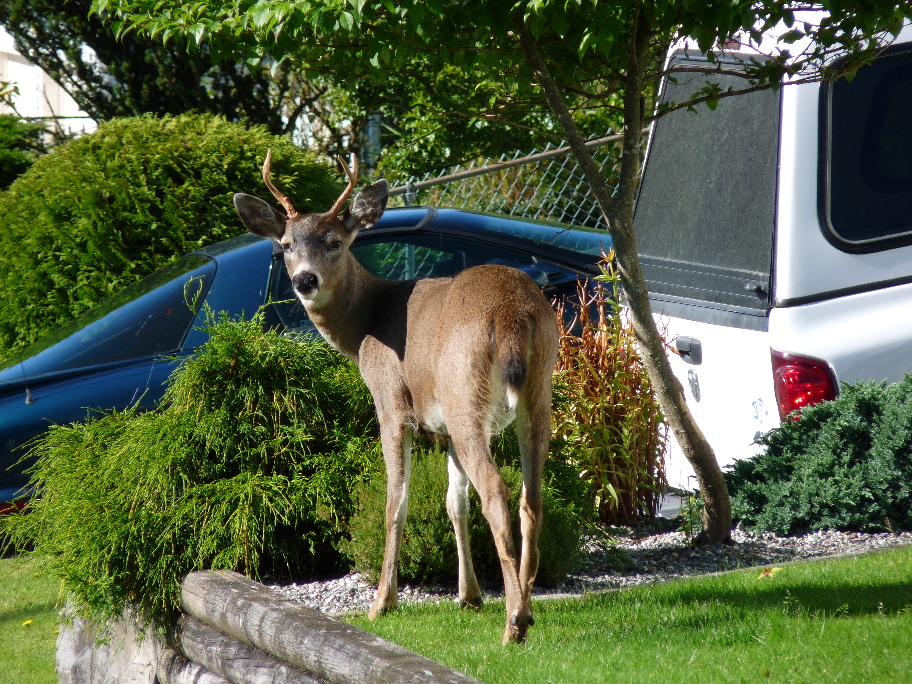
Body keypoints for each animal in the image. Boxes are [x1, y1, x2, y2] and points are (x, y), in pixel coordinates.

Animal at [232, 152, 560, 644]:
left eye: (334, 241)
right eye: (287, 245)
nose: (305, 280)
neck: (366, 323)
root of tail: (512, 314)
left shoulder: (390, 404)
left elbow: (396, 501)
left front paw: (382, 603)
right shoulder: (442, 426)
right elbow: (454, 503)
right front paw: (468, 596)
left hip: (466, 397)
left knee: (497, 494)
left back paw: (514, 625)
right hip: (536, 397)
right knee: (530, 499)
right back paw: (526, 609)